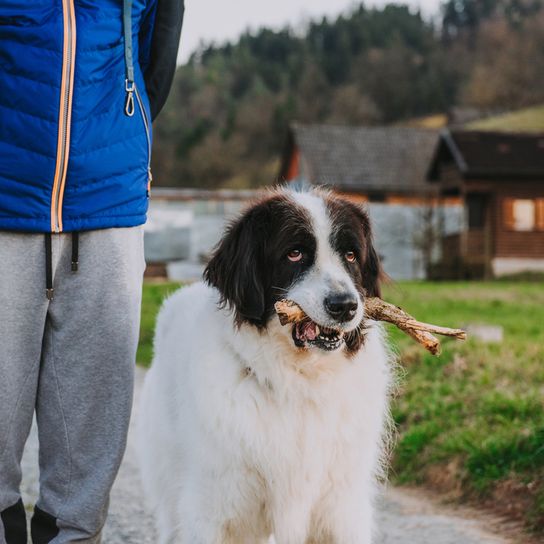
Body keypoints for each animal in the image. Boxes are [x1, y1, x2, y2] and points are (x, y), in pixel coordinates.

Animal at [136, 188, 392, 544]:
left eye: (351, 256)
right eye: (294, 254)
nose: (345, 306)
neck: (298, 381)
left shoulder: (340, 509)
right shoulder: (211, 509)